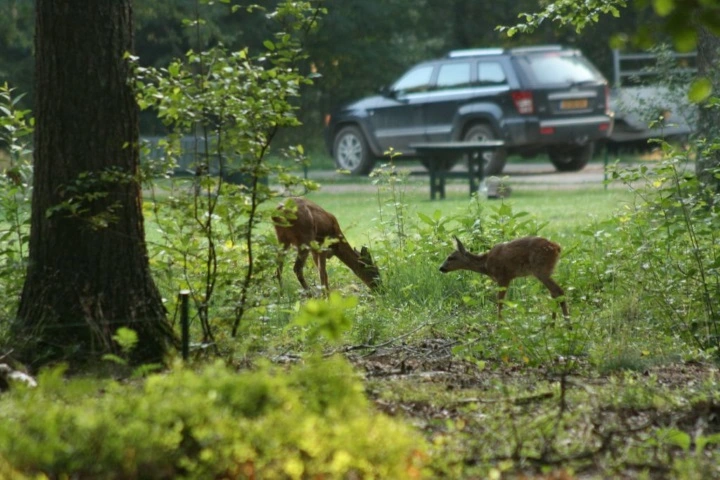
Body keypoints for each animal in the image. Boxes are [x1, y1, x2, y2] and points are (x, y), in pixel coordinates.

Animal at [438, 235, 568, 318]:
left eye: (450, 257)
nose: (441, 268)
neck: (486, 264)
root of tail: (557, 247)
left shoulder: (503, 277)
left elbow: (500, 301)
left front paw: (499, 323)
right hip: (547, 271)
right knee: (554, 293)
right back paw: (554, 324)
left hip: (540, 270)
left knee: (558, 291)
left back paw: (566, 325)